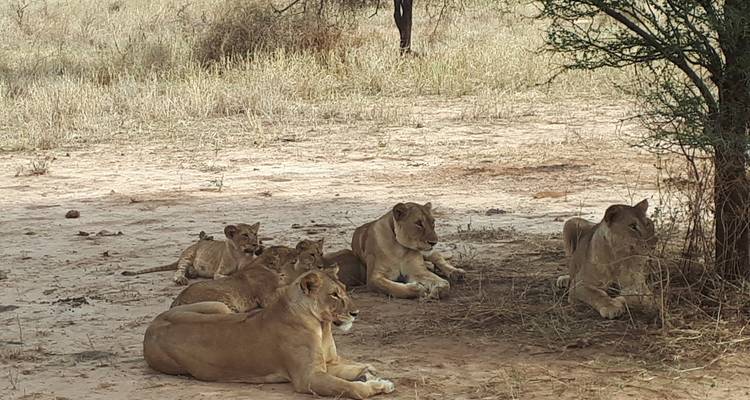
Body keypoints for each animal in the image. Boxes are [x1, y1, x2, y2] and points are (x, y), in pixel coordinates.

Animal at [122, 223, 263, 285]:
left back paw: (192, 273)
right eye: (245, 235)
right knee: (179, 270)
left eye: (255, 234)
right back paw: (182, 278)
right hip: (187, 256)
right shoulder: (219, 273)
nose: (255, 244)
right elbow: (228, 276)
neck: (241, 254)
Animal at [143, 269, 395, 399]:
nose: (356, 313)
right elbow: (349, 387)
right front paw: (374, 386)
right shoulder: (307, 377)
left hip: (219, 307)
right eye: (334, 294)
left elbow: (351, 369)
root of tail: (151, 326)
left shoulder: (326, 364)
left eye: (344, 290)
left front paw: (372, 374)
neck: (322, 327)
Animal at [170, 239, 327, 311]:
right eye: (288, 251)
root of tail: (177, 300)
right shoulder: (267, 297)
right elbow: (288, 287)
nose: (298, 250)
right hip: (222, 301)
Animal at [325, 202, 465, 299]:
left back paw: (457, 273)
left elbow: (445, 283)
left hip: (428, 254)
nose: (434, 242)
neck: (400, 249)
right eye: (418, 223)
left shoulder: (418, 271)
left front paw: (437, 291)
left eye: (433, 222)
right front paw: (417, 289)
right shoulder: (374, 278)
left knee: (437, 256)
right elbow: (392, 288)